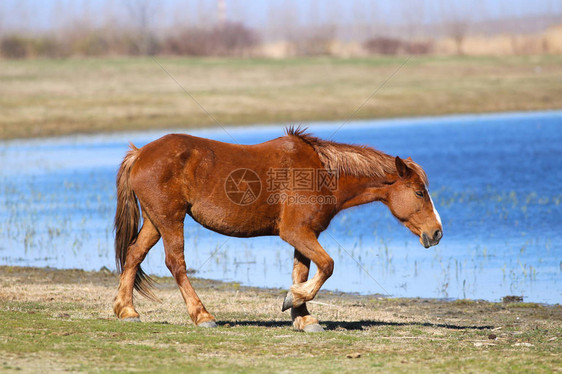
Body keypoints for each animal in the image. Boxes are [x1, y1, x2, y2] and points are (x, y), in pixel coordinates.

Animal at [111, 127, 440, 332]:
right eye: (419, 192)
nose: (437, 233)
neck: (322, 173)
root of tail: (140, 154)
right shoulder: (296, 233)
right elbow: (327, 265)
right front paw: (293, 300)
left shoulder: (306, 235)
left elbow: (304, 272)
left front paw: (303, 317)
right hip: (170, 220)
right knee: (175, 263)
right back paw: (202, 315)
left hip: (155, 222)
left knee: (134, 255)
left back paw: (127, 310)